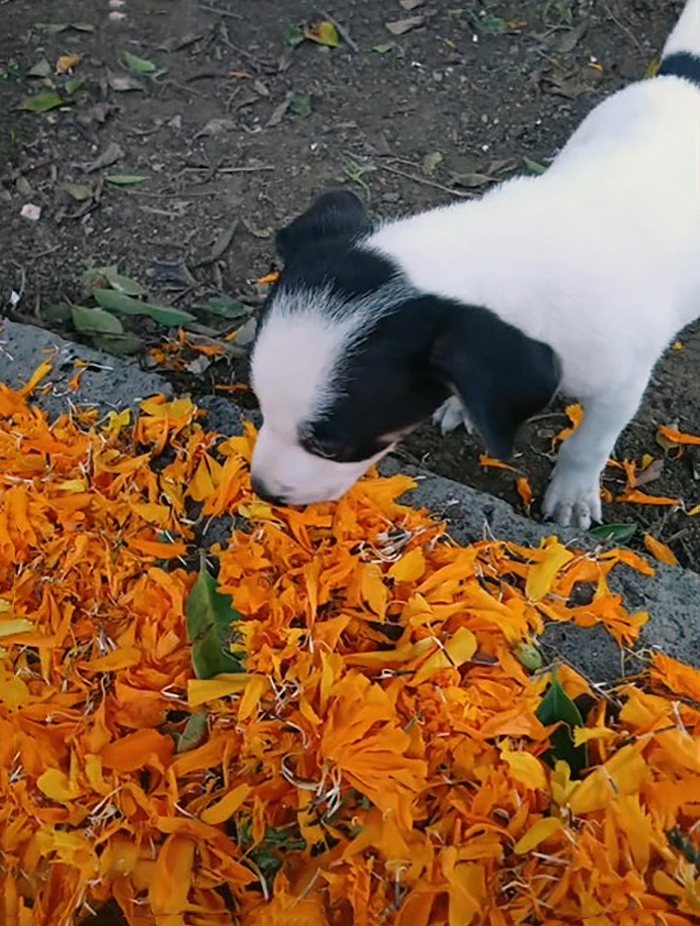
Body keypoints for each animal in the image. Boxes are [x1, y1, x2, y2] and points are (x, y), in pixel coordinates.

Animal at [250, 1, 700, 528]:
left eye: (328, 444)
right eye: (259, 402)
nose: (262, 491)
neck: (507, 247)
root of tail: (684, 79)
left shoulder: (620, 387)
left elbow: (587, 445)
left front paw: (571, 494)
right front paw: (461, 406)